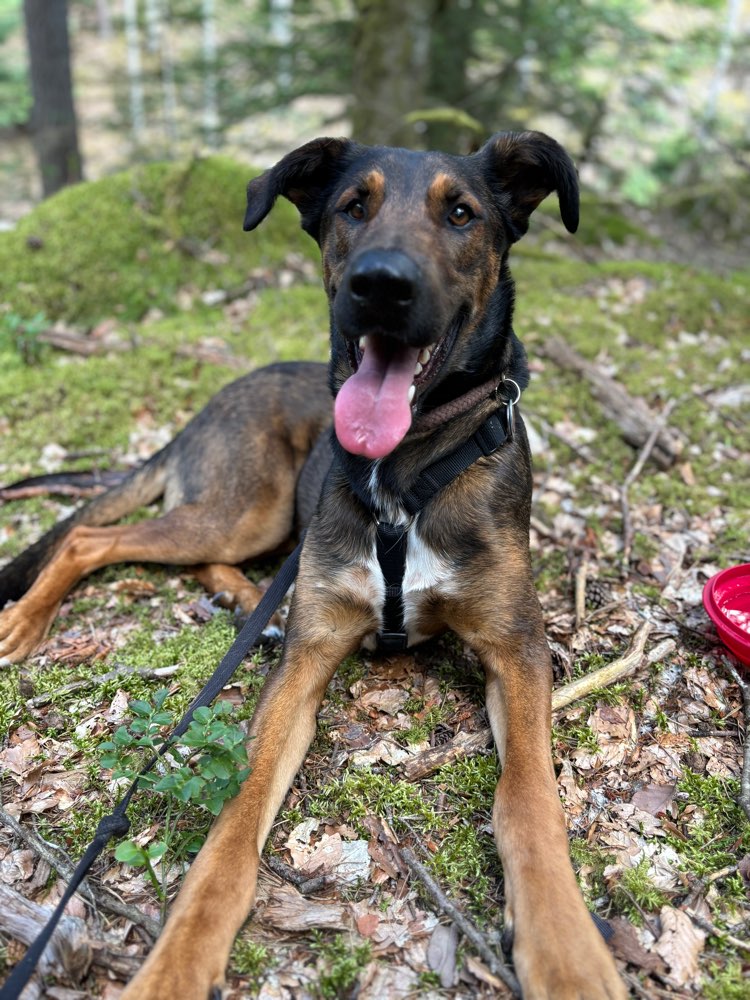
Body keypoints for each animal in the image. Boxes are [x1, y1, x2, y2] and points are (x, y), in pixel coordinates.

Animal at [0, 133, 624, 1000]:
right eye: (352, 207)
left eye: (462, 213)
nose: (381, 285)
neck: (405, 472)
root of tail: (205, 407)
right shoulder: (305, 661)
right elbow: (237, 815)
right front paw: (177, 961)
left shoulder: (518, 647)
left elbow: (530, 799)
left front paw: (567, 950)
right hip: (248, 508)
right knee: (92, 539)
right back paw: (27, 619)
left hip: (251, 524)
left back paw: (241, 597)